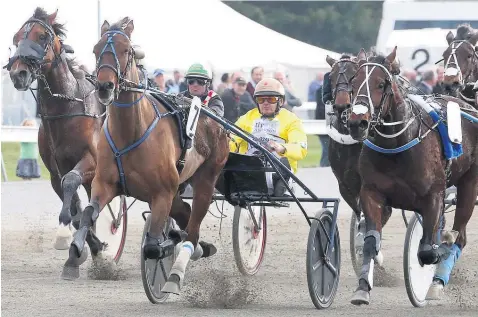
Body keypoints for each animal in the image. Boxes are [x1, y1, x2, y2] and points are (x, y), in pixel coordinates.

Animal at [6, 8, 107, 264]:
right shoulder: (54, 170)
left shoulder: (92, 160)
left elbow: (71, 182)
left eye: (42, 36)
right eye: (16, 38)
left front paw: (65, 235)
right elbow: (74, 207)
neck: (67, 107)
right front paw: (90, 244)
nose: (18, 73)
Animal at [64, 16, 231, 288]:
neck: (130, 134)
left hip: (206, 179)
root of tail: (214, 119)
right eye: (96, 50)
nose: (104, 86)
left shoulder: (161, 193)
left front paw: (166, 246)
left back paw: (178, 269)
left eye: (126, 50)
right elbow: (88, 213)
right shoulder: (104, 184)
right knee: (186, 216)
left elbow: (153, 247)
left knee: (193, 229)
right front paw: (75, 252)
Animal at [348, 46, 478, 304]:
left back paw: (437, 281)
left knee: (459, 236)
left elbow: (427, 251)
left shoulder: (434, 196)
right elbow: (370, 242)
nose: (358, 123)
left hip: (470, 183)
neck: (397, 145)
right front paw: (362, 288)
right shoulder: (371, 192)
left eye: (382, 84)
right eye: (353, 82)